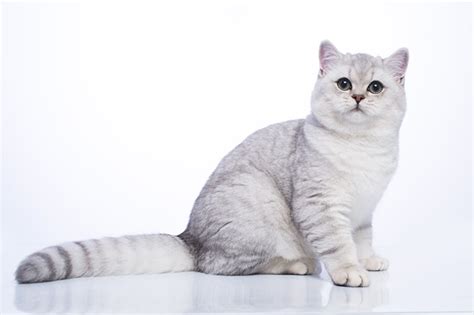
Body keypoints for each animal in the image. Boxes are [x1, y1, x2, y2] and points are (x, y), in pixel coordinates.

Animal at [14, 41, 408, 288]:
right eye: (343, 83)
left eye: (375, 87)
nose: (357, 97)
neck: (362, 147)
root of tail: (189, 238)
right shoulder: (321, 207)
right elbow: (339, 245)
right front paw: (349, 271)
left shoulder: (363, 211)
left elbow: (361, 240)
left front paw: (368, 260)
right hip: (258, 203)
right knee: (220, 266)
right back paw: (296, 264)